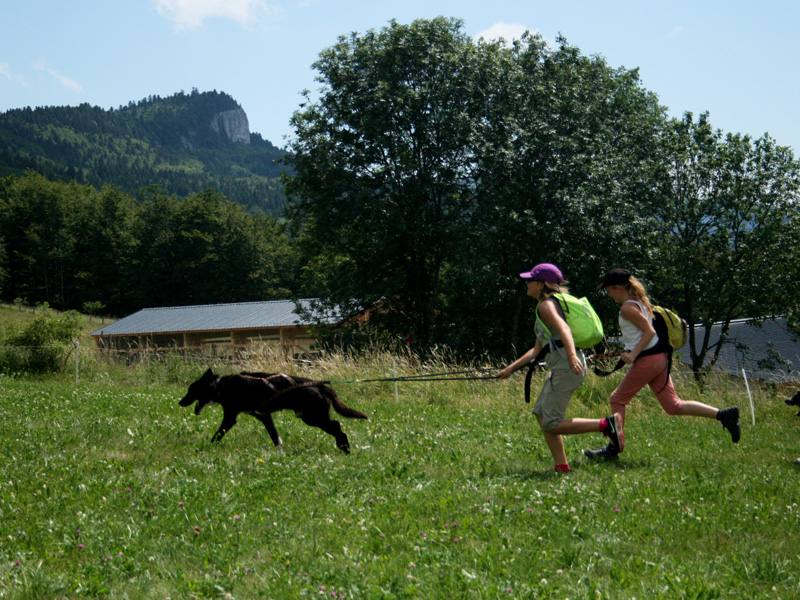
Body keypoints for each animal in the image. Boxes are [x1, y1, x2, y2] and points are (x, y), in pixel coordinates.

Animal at [177, 368, 366, 452]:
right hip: (311, 417)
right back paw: (344, 447)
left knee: (337, 426)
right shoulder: (264, 416)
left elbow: (217, 434)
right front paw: (280, 452)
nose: (180, 402)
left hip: (313, 417)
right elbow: (275, 436)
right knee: (336, 426)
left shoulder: (230, 417)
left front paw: (206, 448)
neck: (220, 386)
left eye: (191, 390)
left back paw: (344, 447)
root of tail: (319, 384)